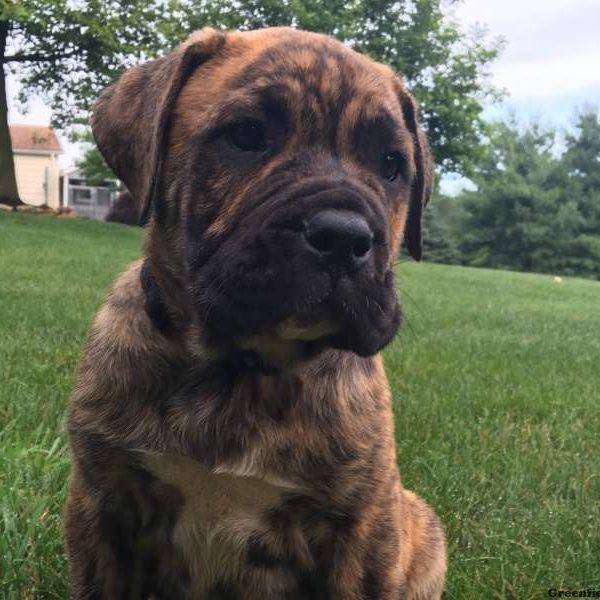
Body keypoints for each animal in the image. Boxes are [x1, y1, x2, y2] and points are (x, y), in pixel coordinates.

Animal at [68, 27, 448, 596]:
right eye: (246, 136)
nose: (344, 237)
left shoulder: (361, 530)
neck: (240, 373)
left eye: (391, 166)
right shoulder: (103, 507)